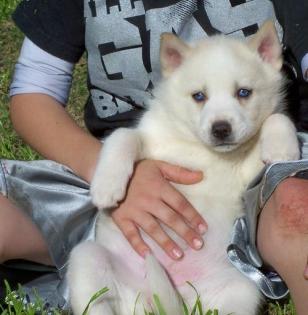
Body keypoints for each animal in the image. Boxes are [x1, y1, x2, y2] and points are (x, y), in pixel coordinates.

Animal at [67, 22, 298, 315]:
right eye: (199, 96)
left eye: (243, 93)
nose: (221, 129)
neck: (208, 154)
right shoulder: (154, 140)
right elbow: (123, 135)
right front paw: (106, 186)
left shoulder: (250, 172)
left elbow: (277, 117)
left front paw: (282, 150)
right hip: (87, 258)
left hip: (243, 290)